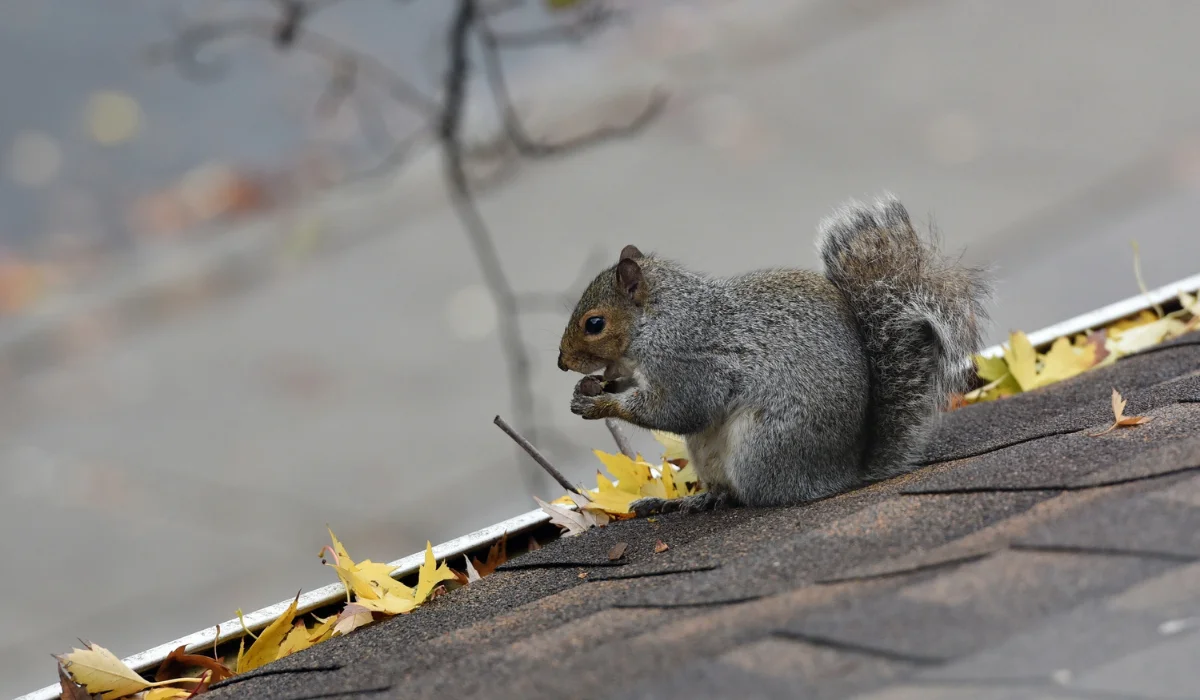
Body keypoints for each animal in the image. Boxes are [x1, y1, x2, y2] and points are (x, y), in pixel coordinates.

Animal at [557, 194, 991, 515]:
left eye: (594, 324)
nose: (563, 363)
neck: (658, 321)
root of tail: (842, 472)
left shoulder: (688, 361)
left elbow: (679, 410)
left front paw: (600, 405)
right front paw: (589, 388)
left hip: (762, 445)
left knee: (753, 494)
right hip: (707, 452)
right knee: (723, 488)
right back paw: (690, 500)